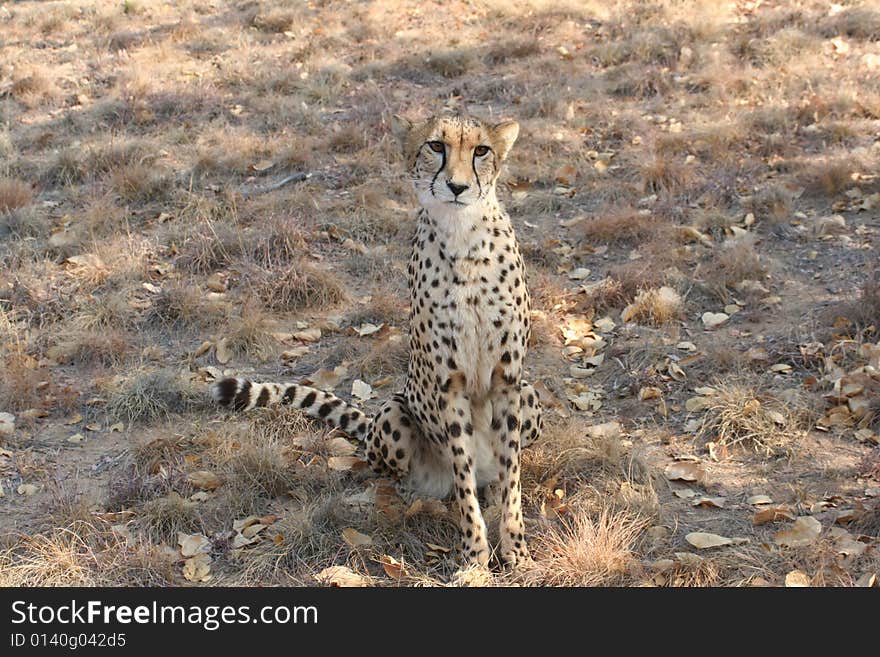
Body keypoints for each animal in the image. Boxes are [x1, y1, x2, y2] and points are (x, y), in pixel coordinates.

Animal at [215, 114, 544, 568]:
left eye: (481, 150)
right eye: (436, 146)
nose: (458, 187)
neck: (463, 236)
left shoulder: (508, 380)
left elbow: (513, 476)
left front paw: (515, 548)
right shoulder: (449, 386)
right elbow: (463, 480)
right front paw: (474, 555)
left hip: (530, 395)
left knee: (496, 471)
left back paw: (489, 488)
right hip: (393, 412)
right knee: (415, 475)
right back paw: (415, 496)